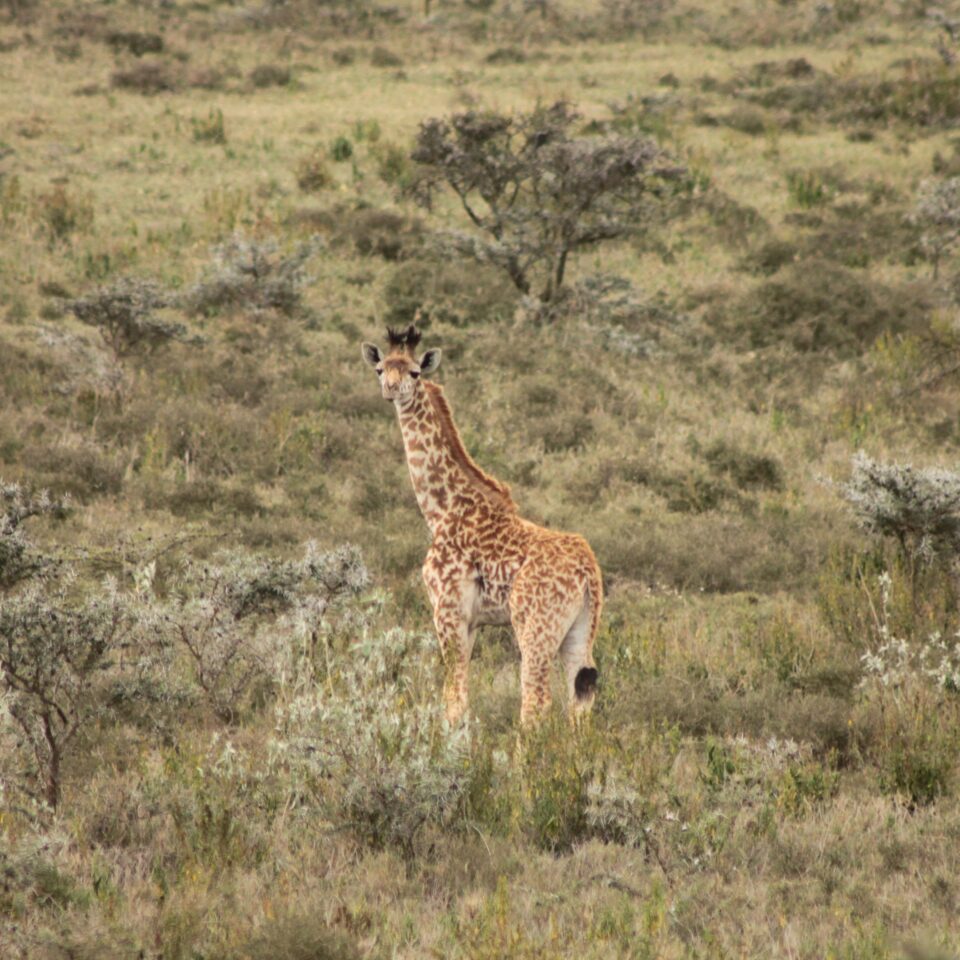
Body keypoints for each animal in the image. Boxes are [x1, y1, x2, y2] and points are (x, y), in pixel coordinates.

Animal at [364, 324, 604, 728]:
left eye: (415, 372)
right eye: (381, 369)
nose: (391, 390)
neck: (443, 510)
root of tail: (588, 571)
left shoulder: (447, 610)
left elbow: (453, 697)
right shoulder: (473, 622)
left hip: (535, 628)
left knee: (536, 701)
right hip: (581, 629)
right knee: (580, 700)